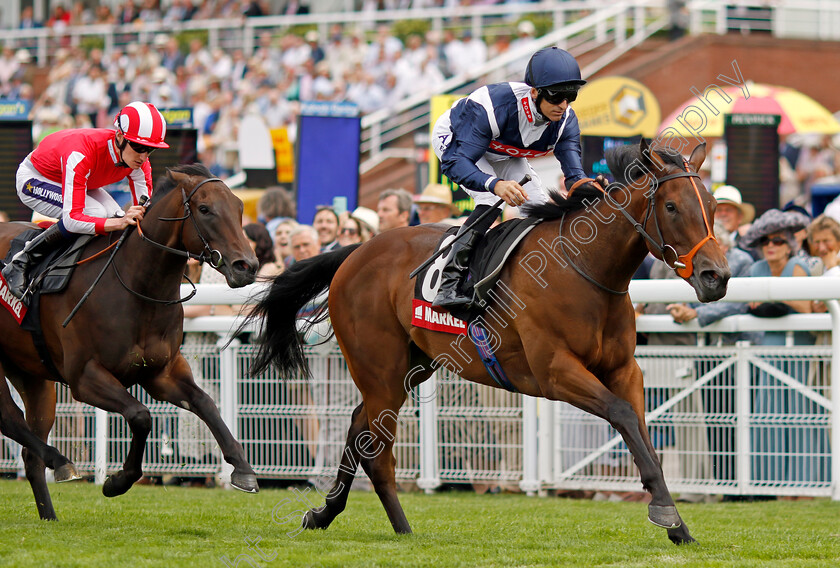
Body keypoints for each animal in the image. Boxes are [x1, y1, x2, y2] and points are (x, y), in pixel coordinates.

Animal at [0, 163, 260, 520]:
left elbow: (206, 403)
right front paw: (117, 481)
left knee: (29, 449)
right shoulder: (84, 377)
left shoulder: (162, 372)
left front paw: (243, 470)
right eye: (205, 209)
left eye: (239, 207)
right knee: (9, 419)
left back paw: (50, 512)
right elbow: (140, 415)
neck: (138, 286)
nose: (247, 266)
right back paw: (62, 460)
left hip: (32, 373)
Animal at [244, 140, 728, 544]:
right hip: (380, 369)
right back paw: (401, 529)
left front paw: (678, 524)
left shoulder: (624, 369)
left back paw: (324, 514)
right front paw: (666, 513)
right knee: (376, 449)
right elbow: (623, 416)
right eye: (671, 206)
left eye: (712, 206)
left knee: (358, 426)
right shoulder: (555, 372)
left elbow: (643, 436)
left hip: (409, 367)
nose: (716, 276)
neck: (585, 268)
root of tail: (354, 252)